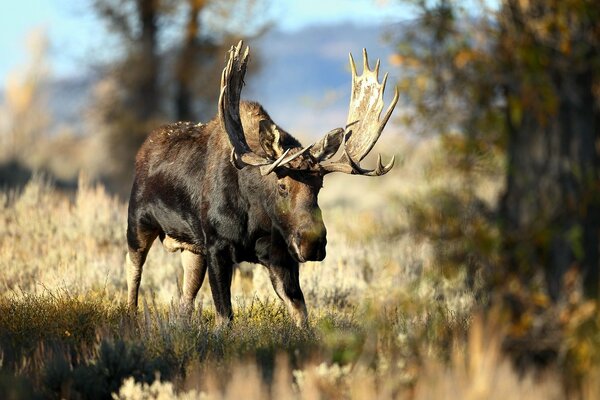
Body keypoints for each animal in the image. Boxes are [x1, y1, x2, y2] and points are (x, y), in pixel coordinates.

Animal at [125, 42, 398, 326]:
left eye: (320, 186)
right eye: (281, 185)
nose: (313, 242)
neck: (253, 216)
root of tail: (144, 148)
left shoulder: (280, 255)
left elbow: (300, 313)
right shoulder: (217, 246)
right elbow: (224, 316)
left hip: (191, 247)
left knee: (186, 295)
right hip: (138, 223)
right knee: (133, 270)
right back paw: (130, 315)